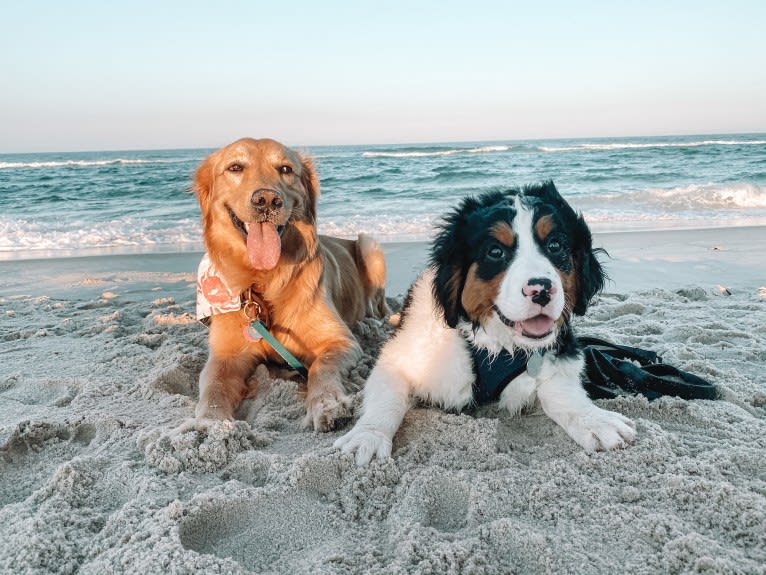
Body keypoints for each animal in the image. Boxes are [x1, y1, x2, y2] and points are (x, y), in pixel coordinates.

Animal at [336, 182, 636, 466]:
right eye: (495, 251)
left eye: (555, 246)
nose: (541, 290)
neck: (495, 344)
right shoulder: (401, 357)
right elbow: (386, 397)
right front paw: (368, 436)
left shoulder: (559, 349)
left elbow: (562, 390)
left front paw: (594, 419)